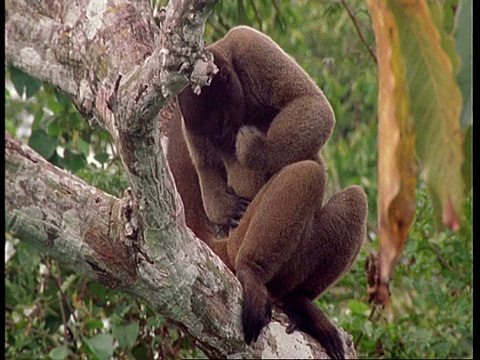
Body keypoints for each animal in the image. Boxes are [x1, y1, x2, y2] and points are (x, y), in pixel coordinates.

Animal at [176, 26, 334, 231]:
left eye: (222, 119)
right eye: (209, 133)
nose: (220, 137)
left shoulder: (249, 44)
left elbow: (310, 101)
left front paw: (257, 151)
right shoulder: (189, 125)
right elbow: (206, 165)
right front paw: (225, 208)